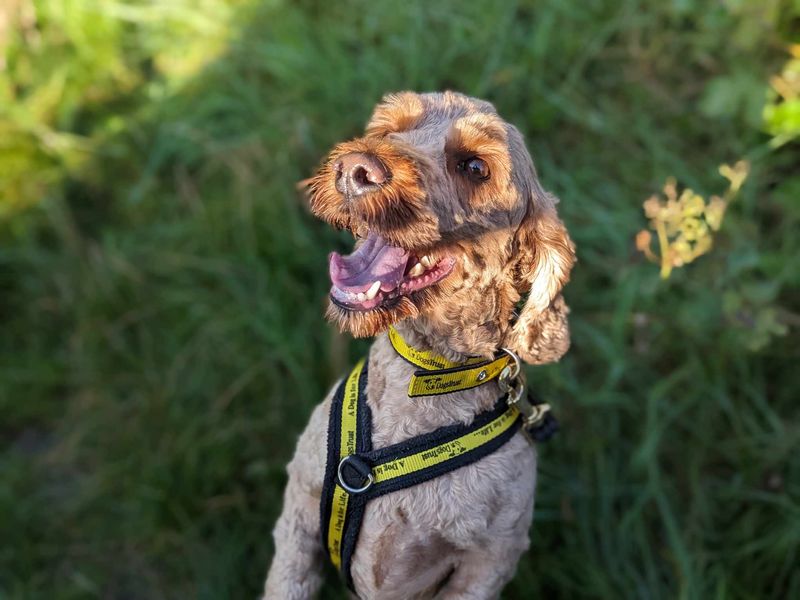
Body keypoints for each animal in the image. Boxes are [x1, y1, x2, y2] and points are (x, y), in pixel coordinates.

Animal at [266, 90, 572, 600]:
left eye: (474, 167)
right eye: (390, 129)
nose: (354, 168)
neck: (425, 377)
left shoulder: (487, 564)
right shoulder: (300, 510)